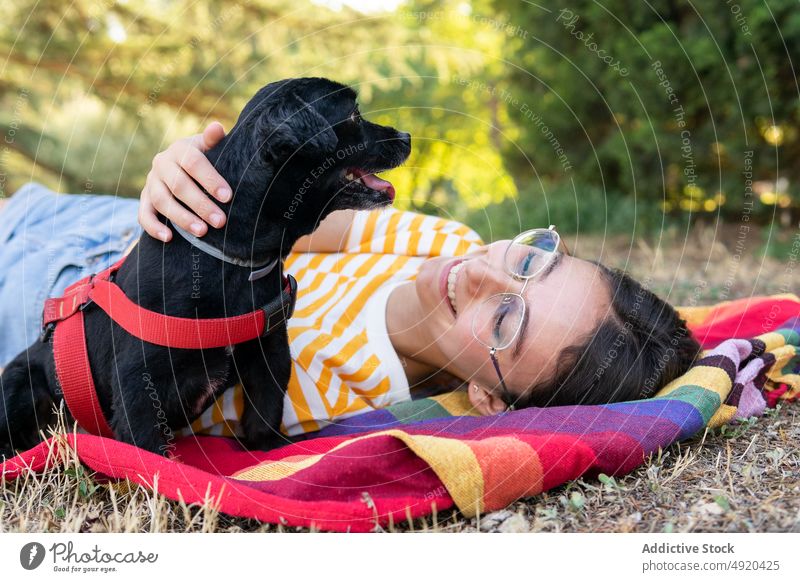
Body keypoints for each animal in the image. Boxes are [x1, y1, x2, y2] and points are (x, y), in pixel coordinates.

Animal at [0, 78, 412, 460]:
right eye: (354, 116)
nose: (406, 135)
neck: (232, 258)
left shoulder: (269, 352)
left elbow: (265, 409)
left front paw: (268, 450)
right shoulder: (139, 383)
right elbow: (147, 451)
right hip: (18, 386)